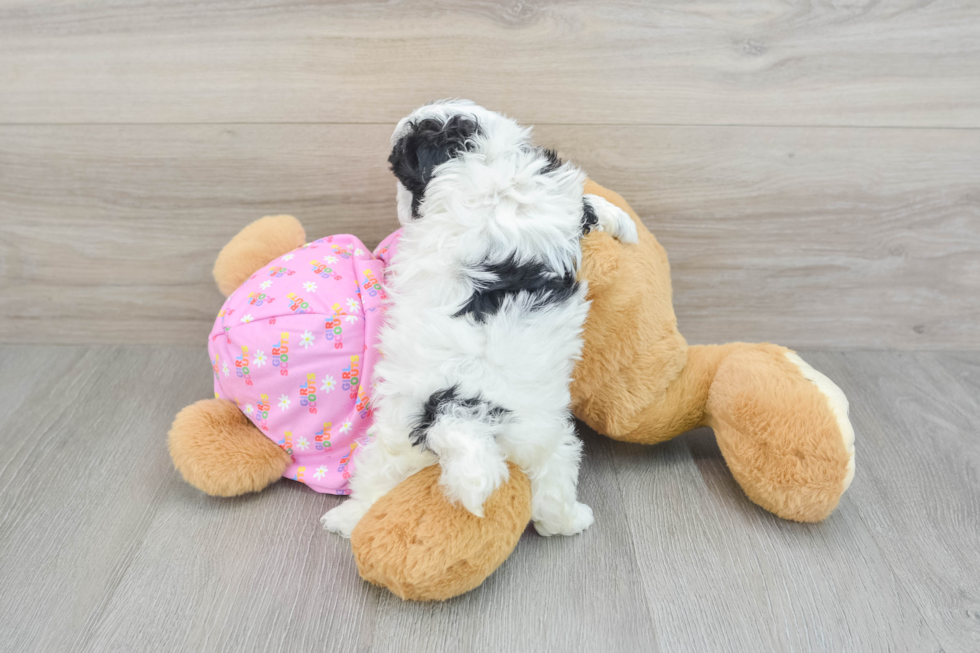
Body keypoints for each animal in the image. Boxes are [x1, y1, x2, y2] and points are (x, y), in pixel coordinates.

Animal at [326, 98, 640, 536]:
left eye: (402, 175)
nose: (402, 212)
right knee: (553, 489)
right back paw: (574, 520)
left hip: (402, 438)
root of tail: (460, 412)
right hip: (547, 435)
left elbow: (589, 206)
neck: (482, 157)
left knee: (377, 480)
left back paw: (347, 518)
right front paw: (625, 224)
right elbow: (589, 206)